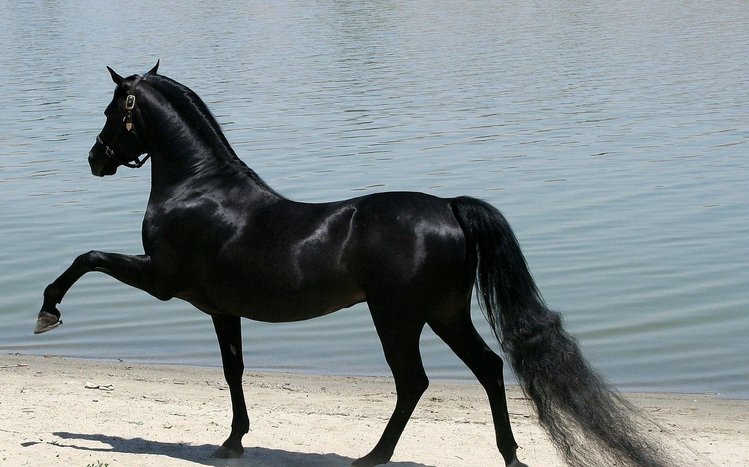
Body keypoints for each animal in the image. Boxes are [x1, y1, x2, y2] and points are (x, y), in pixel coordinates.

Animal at [35, 63, 670, 467]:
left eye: (113, 110)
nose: (95, 158)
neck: (199, 188)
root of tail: (449, 207)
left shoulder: (162, 279)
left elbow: (87, 257)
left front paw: (47, 312)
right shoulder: (221, 309)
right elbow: (234, 371)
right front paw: (234, 442)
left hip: (398, 318)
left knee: (414, 382)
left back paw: (375, 455)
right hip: (445, 314)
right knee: (489, 369)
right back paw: (510, 456)